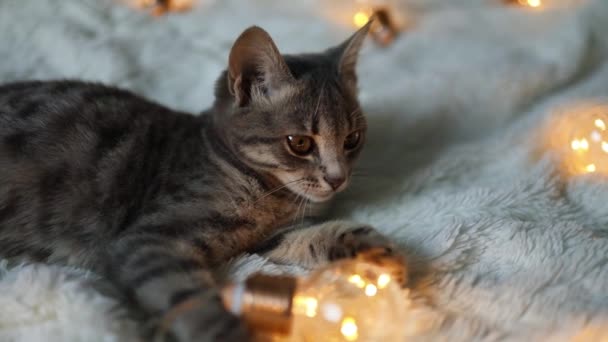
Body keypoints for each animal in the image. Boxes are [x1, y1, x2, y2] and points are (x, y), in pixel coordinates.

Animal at [1, 22, 408, 340]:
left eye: (352, 139)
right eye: (300, 143)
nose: (338, 178)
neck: (267, 192)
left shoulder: (267, 237)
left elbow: (309, 236)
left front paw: (367, 246)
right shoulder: (150, 241)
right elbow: (193, 305)